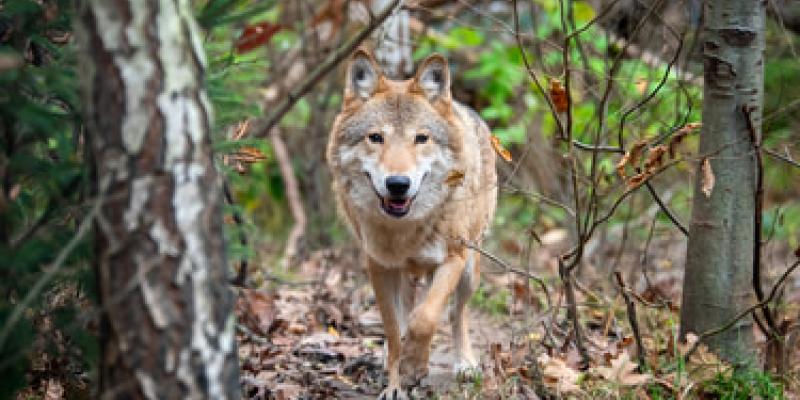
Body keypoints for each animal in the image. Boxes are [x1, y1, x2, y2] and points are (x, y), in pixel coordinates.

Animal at [326, 48, 498, 399]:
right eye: (375, 138)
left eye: (421, 139)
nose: (397, 184)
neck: (405, 229)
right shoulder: (379, 267)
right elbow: (394, 332)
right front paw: (396, 383)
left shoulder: (452, 259)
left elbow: (427, 317)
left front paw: (415, 366)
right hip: (404, 273)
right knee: (407, 311)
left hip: (470, 269)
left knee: (456, 313)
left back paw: (465, 363)